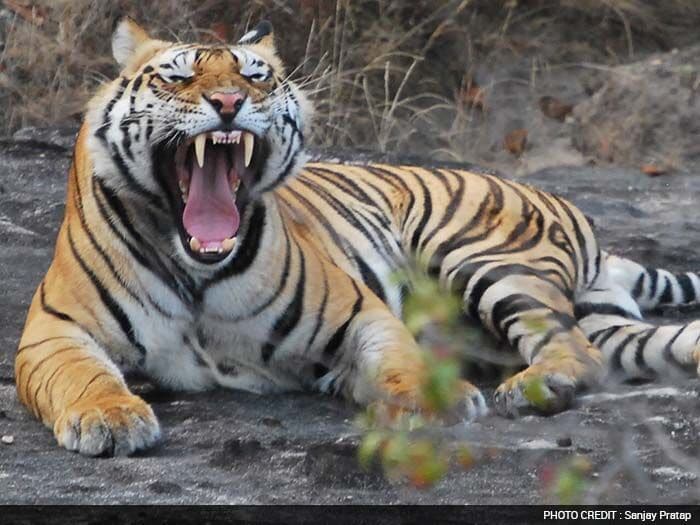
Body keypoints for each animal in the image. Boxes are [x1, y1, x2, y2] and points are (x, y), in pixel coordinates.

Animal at [13, 19, 700, 454]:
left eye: (256, 77)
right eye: (178, 78)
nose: (230, 103)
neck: (196, 267)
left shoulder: (358, 311)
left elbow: (398, 357)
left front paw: (433, 403)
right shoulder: (53, 330)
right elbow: (82, 376)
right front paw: (109, 418)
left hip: (482, 256)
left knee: (571, 348)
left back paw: (536, 387)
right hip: (609, 323)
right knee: (636, 348)